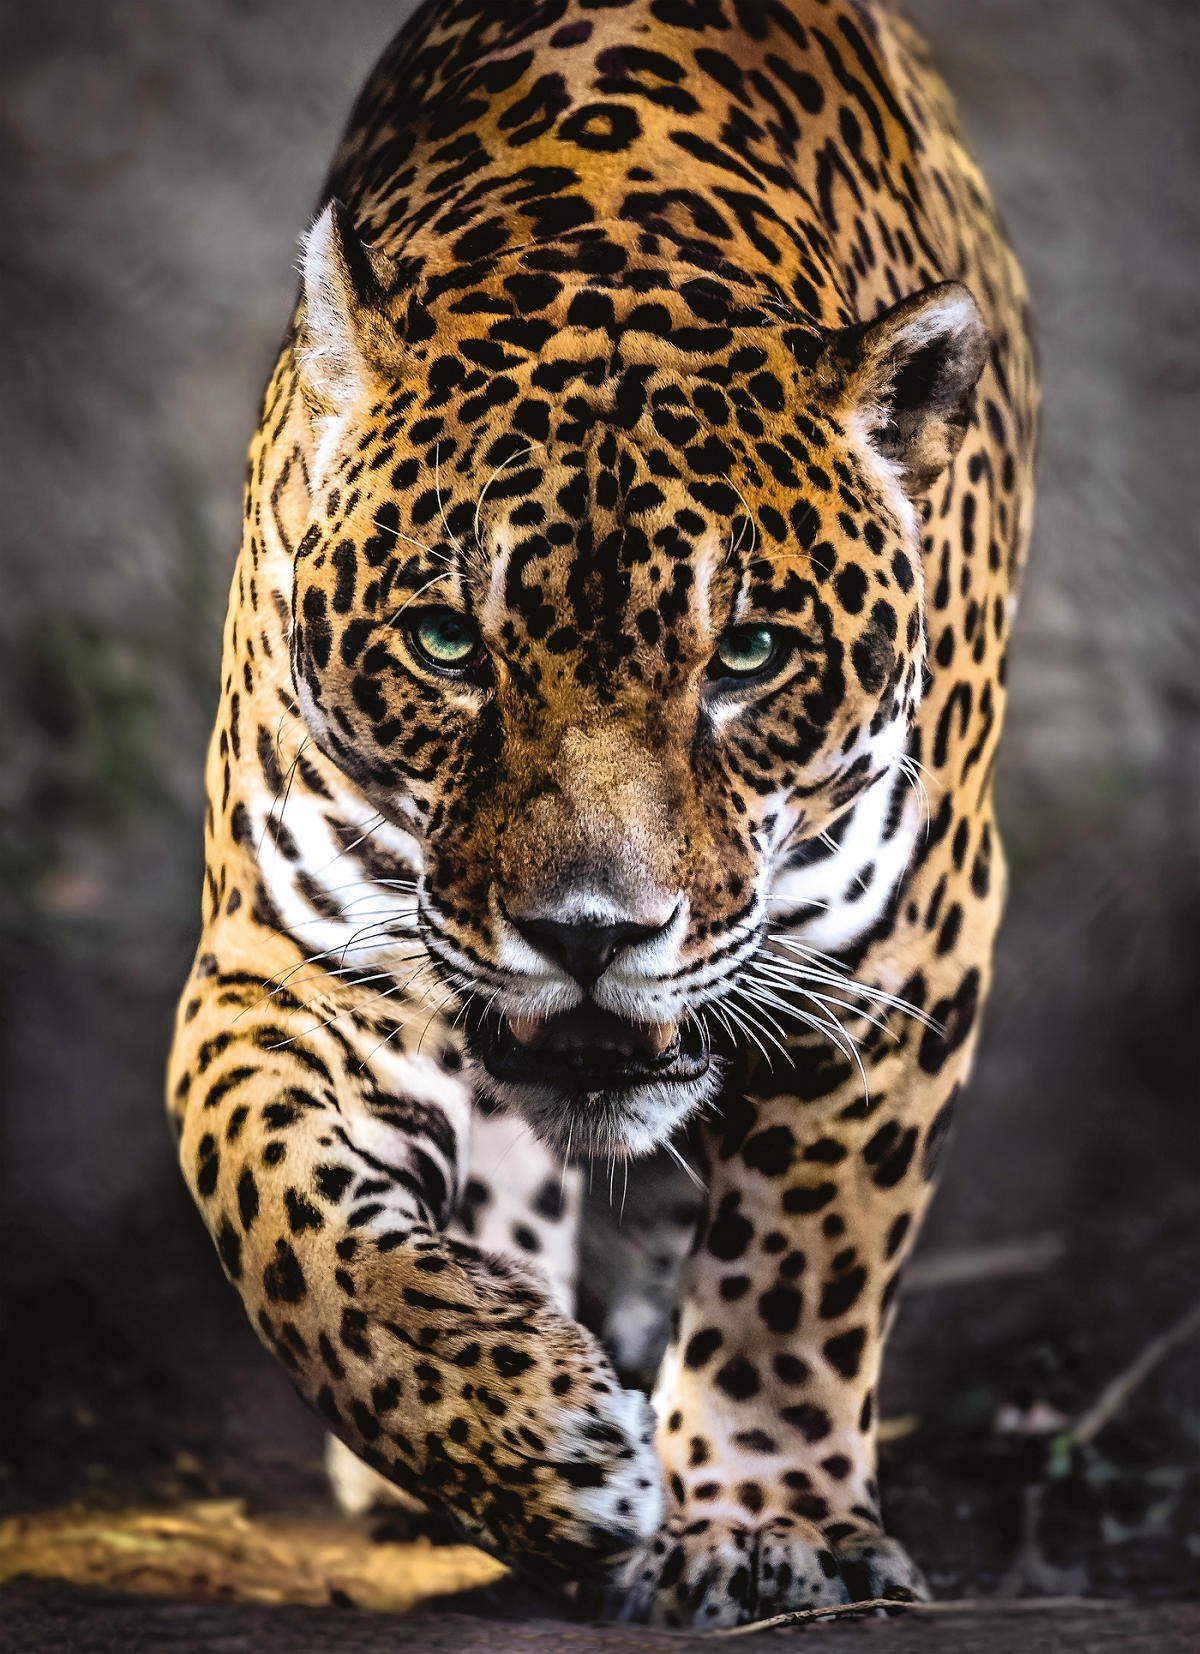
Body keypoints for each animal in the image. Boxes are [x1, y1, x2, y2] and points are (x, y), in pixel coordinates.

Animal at [168, 0, 1037, 1627]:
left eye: (747, 655)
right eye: (448, 642)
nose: (589, 934)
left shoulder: (901, 951)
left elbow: (801, 1264)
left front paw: (768, 1523)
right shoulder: (284, 959)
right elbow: (281, 1217)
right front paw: (524, 1439)